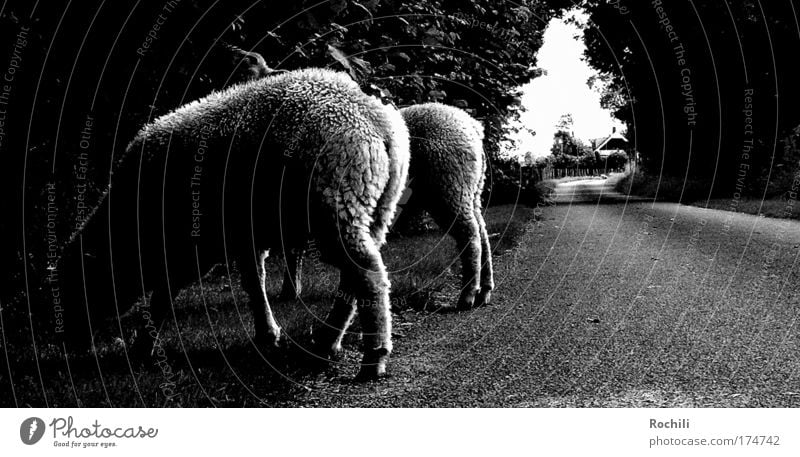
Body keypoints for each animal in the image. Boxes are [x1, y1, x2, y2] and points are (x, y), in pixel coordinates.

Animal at [57, 67, 406, 380]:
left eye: (79, 285)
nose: (71, 345)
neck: (130, 220)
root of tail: (374, 117)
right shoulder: (242, 234)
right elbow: (254, 281)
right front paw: (267, 333)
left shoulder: (190, 243)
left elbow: (164, 295)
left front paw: (144, 347)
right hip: (376, 206)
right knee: (353, 278)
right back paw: (327, 342)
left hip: (338, 201)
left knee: (368, 275)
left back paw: (372, 359)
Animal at [282, 102, 494, 308]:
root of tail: (473, 126)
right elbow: (294, 248)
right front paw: (292, 290)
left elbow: (293, 249)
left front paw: (290, 291)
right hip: (470, 191)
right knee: (482, 232)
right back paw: (484, 291)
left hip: (448, 187)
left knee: (471, 236)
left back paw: (467, 295)